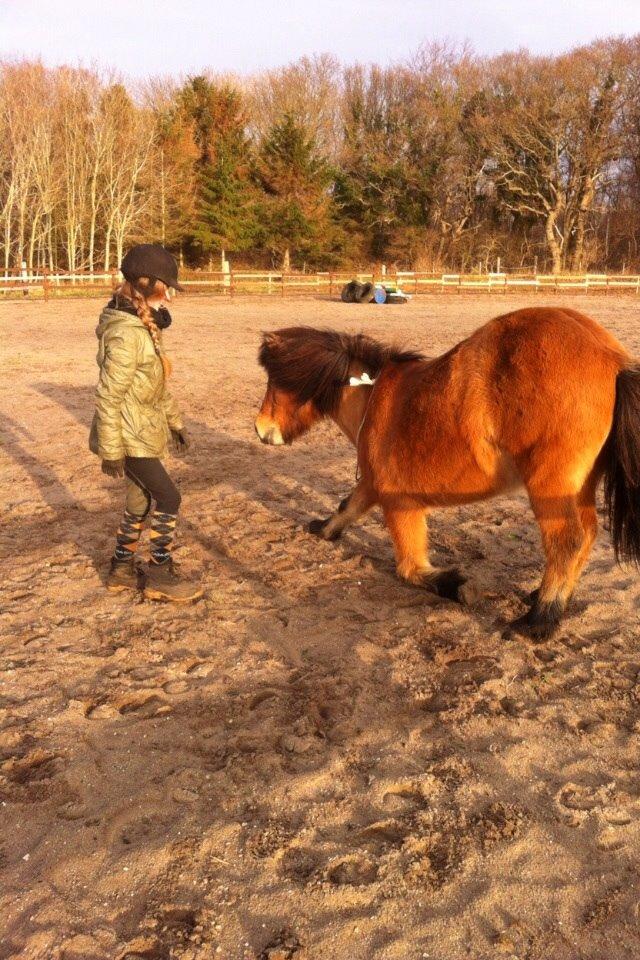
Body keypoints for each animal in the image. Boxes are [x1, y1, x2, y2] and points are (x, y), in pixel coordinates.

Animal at [254, 308, 640, 636]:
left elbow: (410, 568)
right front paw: (323, 529)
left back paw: (538, 622)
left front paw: (457, 586)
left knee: (567, 541)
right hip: (580, 486)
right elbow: (346, 508)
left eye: (276, 381)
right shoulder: (371, 485)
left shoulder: (397, 501)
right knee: (587, 536)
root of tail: (613, 360)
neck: (371, 399)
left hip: (550, 485)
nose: (261, 429)